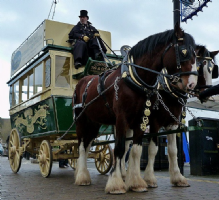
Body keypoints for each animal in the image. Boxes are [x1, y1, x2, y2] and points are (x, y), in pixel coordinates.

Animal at [72, 23, 198, 194]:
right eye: (183, 51)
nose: (191, 84)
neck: (136, 79)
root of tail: (82, 81)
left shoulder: (145, 119)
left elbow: (138, 150)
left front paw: (136, 182)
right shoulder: (126, 119)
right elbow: (120, 148)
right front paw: (117, 184)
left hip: (94, 122)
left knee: (88, 144)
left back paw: (84, 173)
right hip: (81, 120)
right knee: (81, 146)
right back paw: (82, 177)